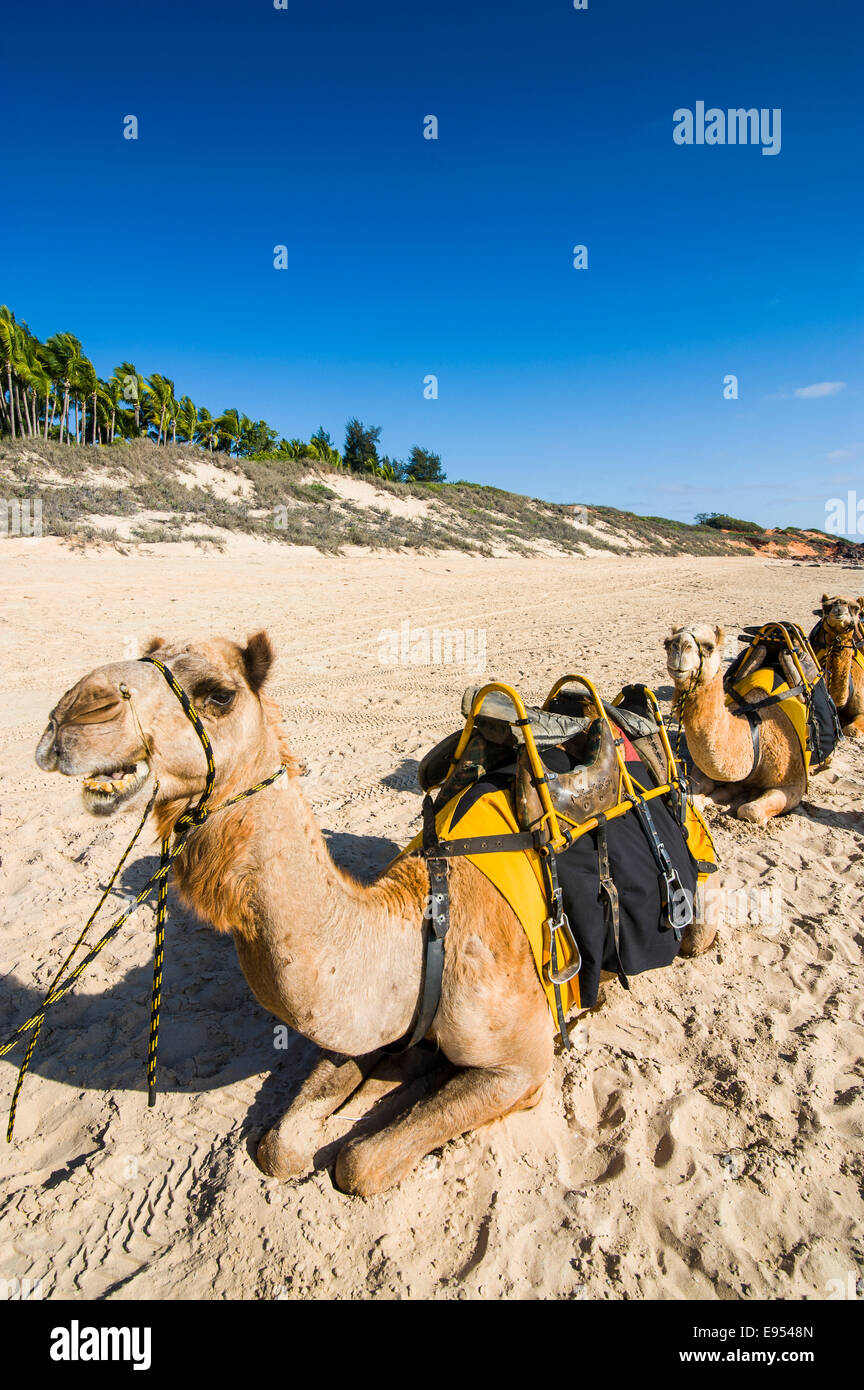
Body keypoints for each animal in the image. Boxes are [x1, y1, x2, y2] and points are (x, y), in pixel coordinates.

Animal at [35, 632, 714, 1195]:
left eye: (218, 694)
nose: (73, 713)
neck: (421, 931)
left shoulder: (523, 1064)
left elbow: (359, 1163)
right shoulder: (366, 1025)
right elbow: (281, 1147)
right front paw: (392, 1074)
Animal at [665, 623, 805, 825]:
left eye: (709, 647)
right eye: (666, 643)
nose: (679, 644)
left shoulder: (794, 782)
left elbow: (750, 810)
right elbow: (698, 796)